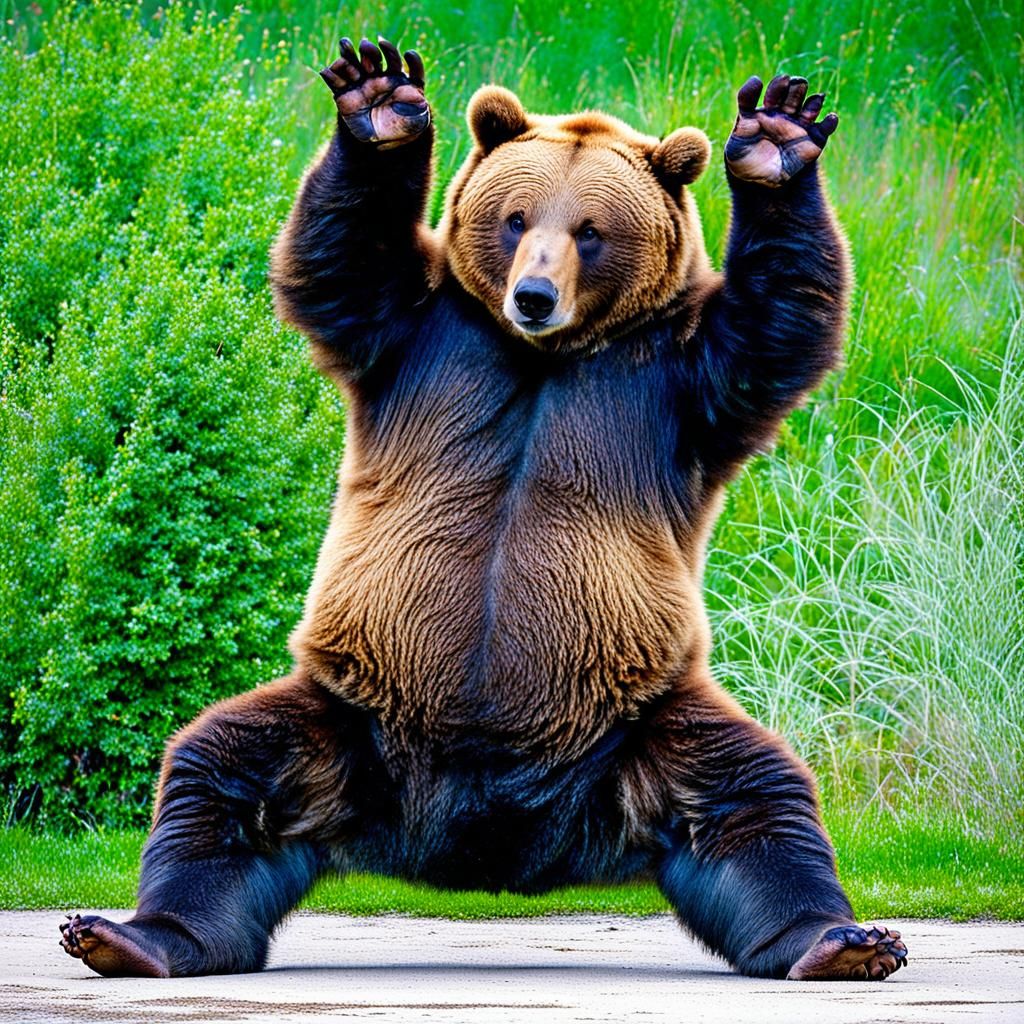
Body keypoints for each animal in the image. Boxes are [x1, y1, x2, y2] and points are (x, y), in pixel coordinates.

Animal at [59, 36, 908, 982]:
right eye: (516, 217)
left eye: (590, 230)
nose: (534, 296)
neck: (545, 355)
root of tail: (486, 840)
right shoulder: (421, 334)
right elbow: (344, 256)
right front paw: (381, 100)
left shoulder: (676, 381)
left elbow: (777, 323)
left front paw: (776, 137)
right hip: (352, 713)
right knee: (220, 778)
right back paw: (132, 934)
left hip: (635, 723)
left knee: (755, 805)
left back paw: (839, 940)